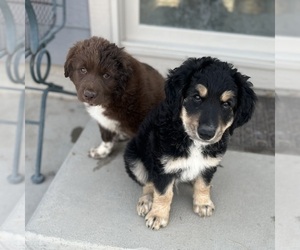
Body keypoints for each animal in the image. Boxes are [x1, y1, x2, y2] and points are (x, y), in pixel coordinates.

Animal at [124, 57, 258, 230]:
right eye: (197, 97)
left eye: (227, 104)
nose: (206, 133)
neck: (190, 139)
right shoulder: (162, 167)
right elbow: (162, 193)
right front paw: (157, 215)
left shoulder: (209, 163)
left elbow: (203, 184)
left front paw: (203, 203)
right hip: (133, 157)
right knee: (147, 182)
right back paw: (146, 201)